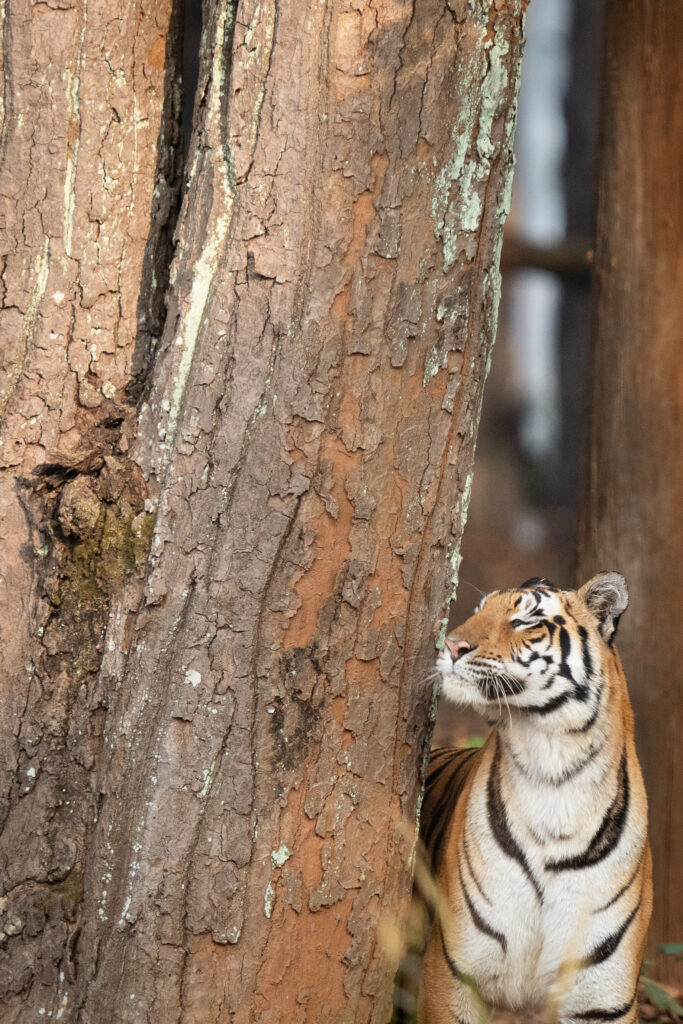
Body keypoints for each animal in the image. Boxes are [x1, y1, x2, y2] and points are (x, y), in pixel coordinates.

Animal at [418, 573, 652, 1024]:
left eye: (525, 621)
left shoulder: (603, 1000)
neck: (553, 775)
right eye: (479, 611)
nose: (451, 646)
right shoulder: (453, 972)